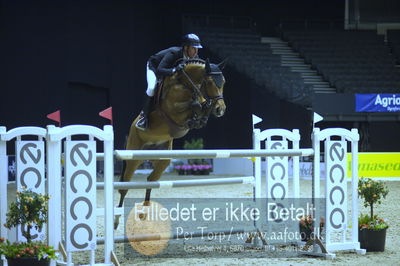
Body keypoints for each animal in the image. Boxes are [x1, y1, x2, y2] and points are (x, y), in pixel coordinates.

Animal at [114, 58, 227, 229]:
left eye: (223, 82)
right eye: (210, 82)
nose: (221, 109)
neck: (188, 84)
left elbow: (202, 108)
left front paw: (200, 117)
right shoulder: (173, 109)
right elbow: (193, 105)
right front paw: (197, 110)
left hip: (163, 159)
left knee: (151, 180)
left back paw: (145, 213)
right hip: (134, 157)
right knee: (124, 186)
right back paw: (115, 220)